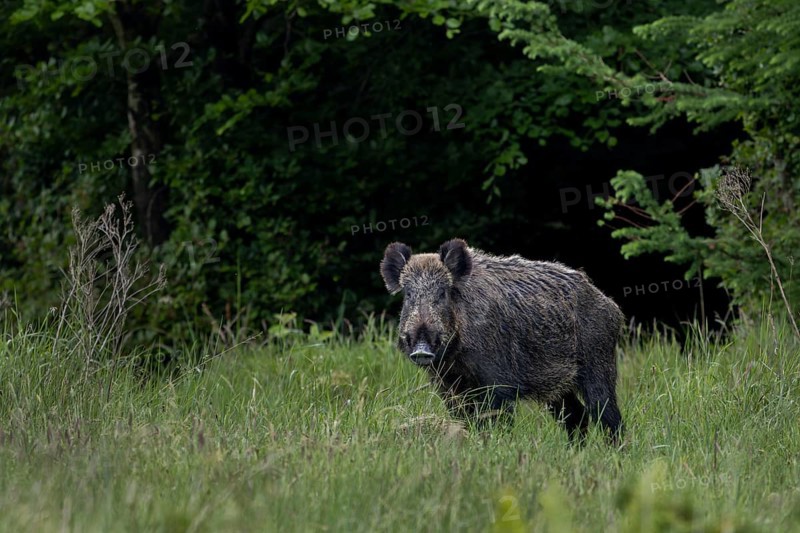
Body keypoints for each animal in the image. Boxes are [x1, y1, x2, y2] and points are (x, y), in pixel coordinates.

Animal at [380, 238, 624, 442]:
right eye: (409, 294)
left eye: (442, 293)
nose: (421, 349)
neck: (457, 358)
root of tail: (612, 307)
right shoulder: (448, 385)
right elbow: (465, 419)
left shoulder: (499, 382)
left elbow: (497, 419)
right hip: (558, 385)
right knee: (577, 415)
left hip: (598, 363)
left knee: (608, 414)